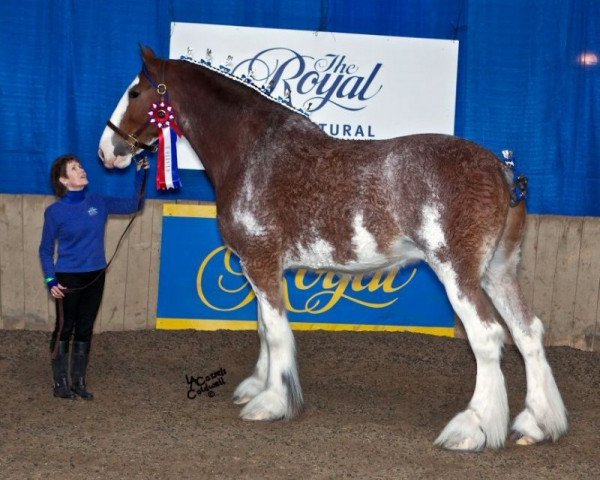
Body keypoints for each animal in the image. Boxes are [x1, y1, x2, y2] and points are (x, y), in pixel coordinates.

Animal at [98, 47, 568, 452]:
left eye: (135, 93)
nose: (108, 151)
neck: (252, 151)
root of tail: (503, 170)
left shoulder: (260, 260)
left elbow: (275, 331)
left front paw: (272, 403)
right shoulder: (261, 267)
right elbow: (264, 328)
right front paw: (259, 386)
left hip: (458, 272)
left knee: (488, 337)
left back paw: (472, 429)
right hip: (498, 271)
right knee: (528, 332)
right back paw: (536, 424)